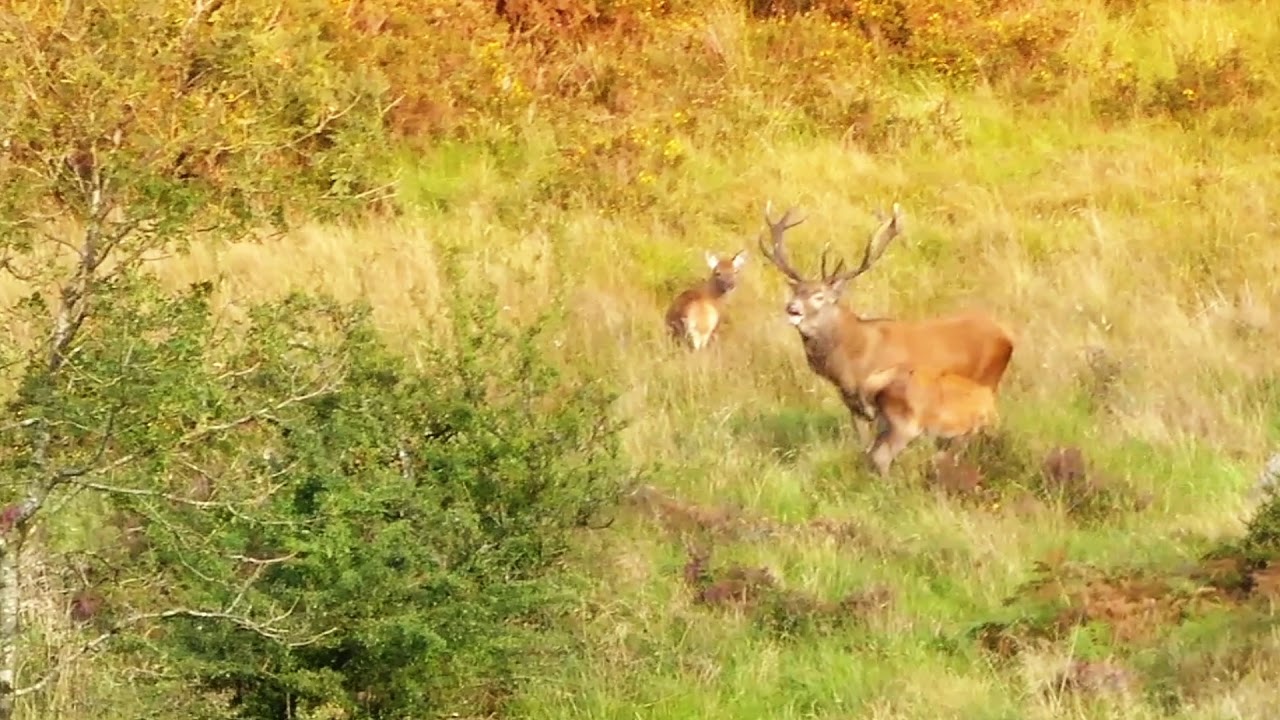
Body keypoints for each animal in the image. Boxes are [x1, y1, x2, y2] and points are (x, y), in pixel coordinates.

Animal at [756, 201, 1015, 476]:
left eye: (819, 296)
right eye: (797, 291)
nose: (792, 309)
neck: (852, 359)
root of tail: (1006, 335)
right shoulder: (854, 407)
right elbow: (864, 448)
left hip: (987, 382)